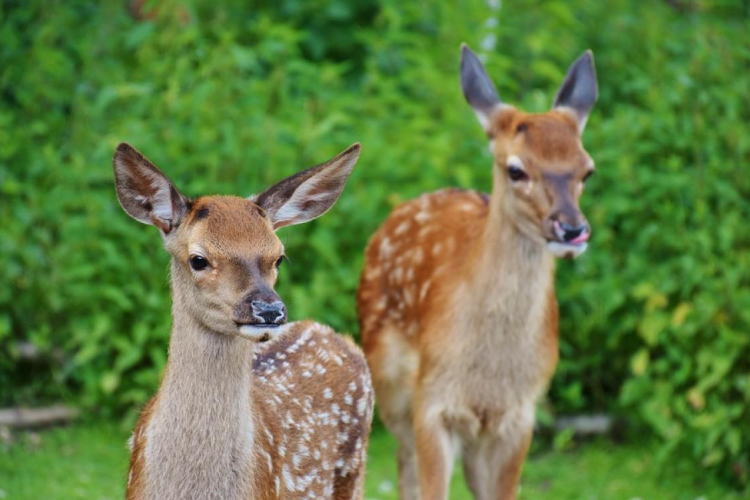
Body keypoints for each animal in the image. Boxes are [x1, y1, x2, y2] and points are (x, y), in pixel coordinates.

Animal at [356, 44, 600, 500]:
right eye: (516, 169)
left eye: (587, 169)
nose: (572, 228)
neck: (488, 374)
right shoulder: (433, 401)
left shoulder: (520, 413)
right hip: (390, 382)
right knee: (403, 463)